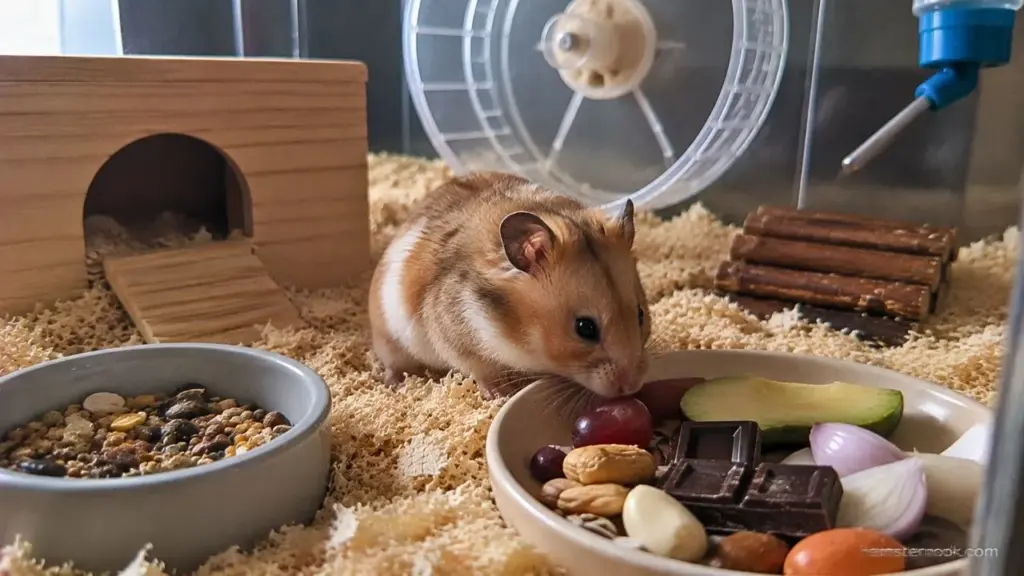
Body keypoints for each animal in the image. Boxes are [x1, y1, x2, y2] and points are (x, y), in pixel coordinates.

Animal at [368, 171, 651, 399]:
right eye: (585, 328)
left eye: (640, 315)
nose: (632, 386)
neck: (517, 329)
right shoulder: (454, 336)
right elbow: (481, 369)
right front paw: (500, 394)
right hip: (389, 338)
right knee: (393, 363)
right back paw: (397, 385)